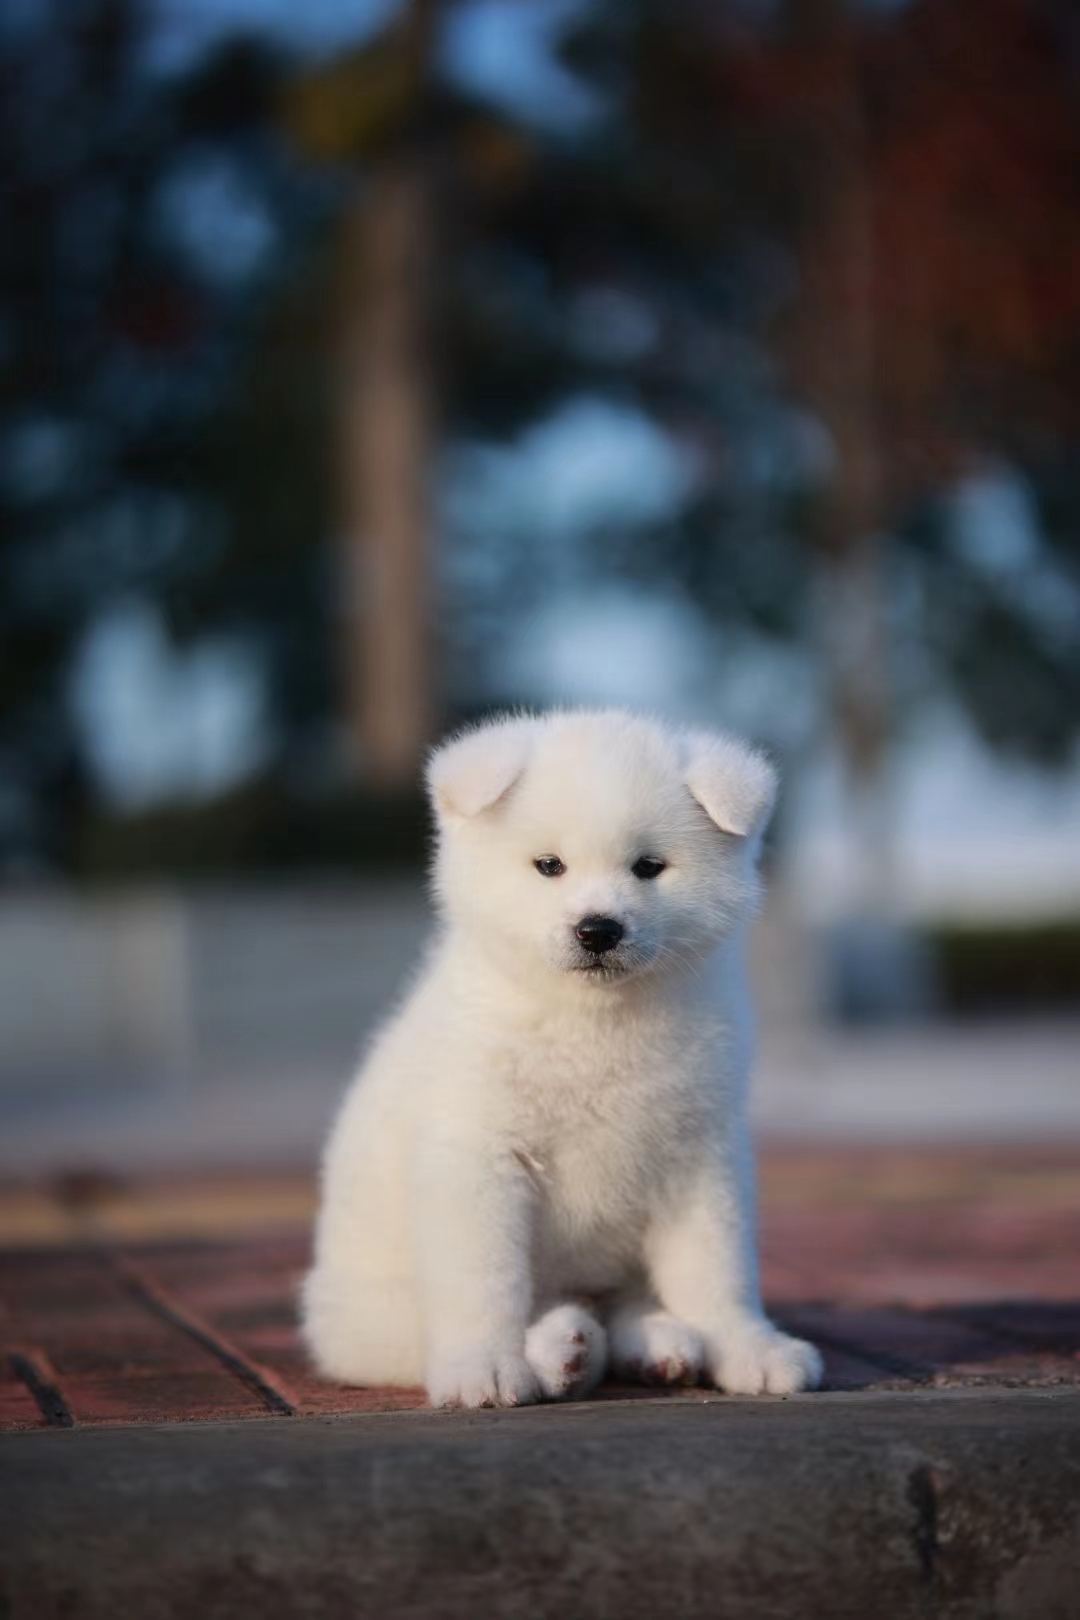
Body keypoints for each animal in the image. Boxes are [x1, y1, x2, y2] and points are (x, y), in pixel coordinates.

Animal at [299, 709, 822, 1406]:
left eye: (648, 867)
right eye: (549, 866)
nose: (598, 930)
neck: (593, 1021)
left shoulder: (698, 1157)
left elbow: (717, 1272)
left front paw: (748, 1349)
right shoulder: (478, 1156)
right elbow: (484, 1283)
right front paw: (485, 1367)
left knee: (624, 1306)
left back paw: (654, 1344)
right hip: (368, 1312)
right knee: (429, 1332)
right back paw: (558, 1351)